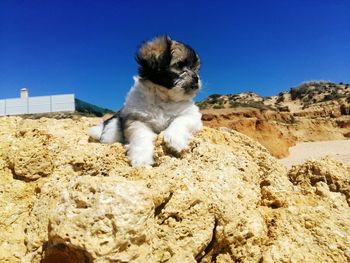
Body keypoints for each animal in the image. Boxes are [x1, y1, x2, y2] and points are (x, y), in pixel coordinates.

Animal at [88, 35, 202, 167]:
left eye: (196, 70)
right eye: (179, 65)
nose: (196, 78)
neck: (164, 98)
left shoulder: (192, 115)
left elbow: (180, 121)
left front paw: (175, 138)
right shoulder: (136, 119)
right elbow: (141, 136)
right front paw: (141, 157)